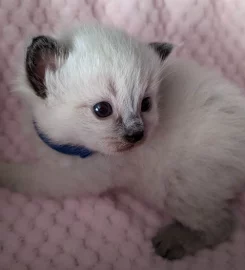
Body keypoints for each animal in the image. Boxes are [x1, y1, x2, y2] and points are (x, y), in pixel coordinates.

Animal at [0, 24, 245, 260]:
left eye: (145, 104)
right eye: (102, 110)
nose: (138, 134)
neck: (71, 148)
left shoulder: (71, 177)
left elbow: (25, 176)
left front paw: (5, 170)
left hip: (177, 191)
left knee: (221, 226)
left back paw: (173, 241)